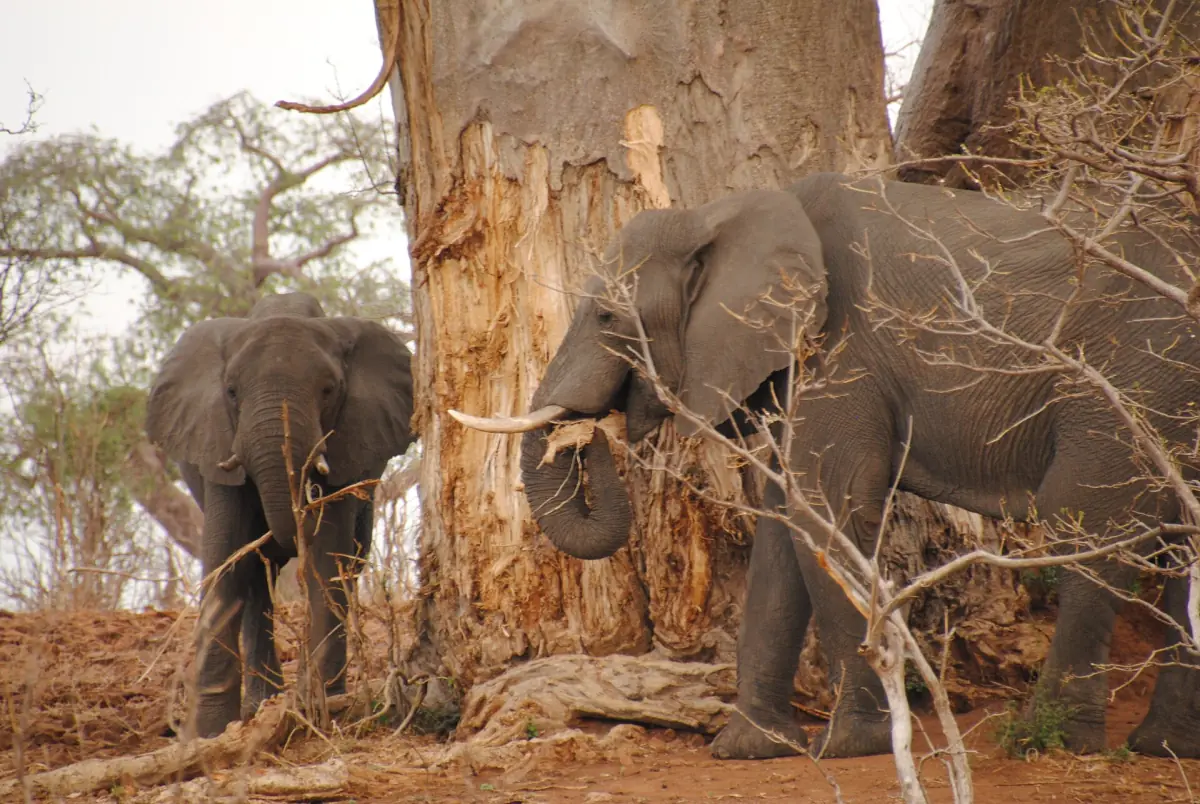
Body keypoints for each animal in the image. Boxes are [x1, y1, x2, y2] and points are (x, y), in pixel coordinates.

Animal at [146, 291, 415, 737]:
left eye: (329, 390)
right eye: (231, 391)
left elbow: (326, 558)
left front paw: (320, 710)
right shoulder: (218, 441)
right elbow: (225, 560)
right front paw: (209, 733)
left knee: (350, 562)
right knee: (256, 574)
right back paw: (260, 705)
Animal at [450, 172, 1200, 760]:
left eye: (607, 316)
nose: (591, 433)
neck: (721, 214)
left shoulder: (840, 352)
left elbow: (827, 510)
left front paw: (851, 748)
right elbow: (784, 528)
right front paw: (749, 751)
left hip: (1127, 380)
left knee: (1094, 523)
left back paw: (1048, 742)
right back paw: (1163, 746)